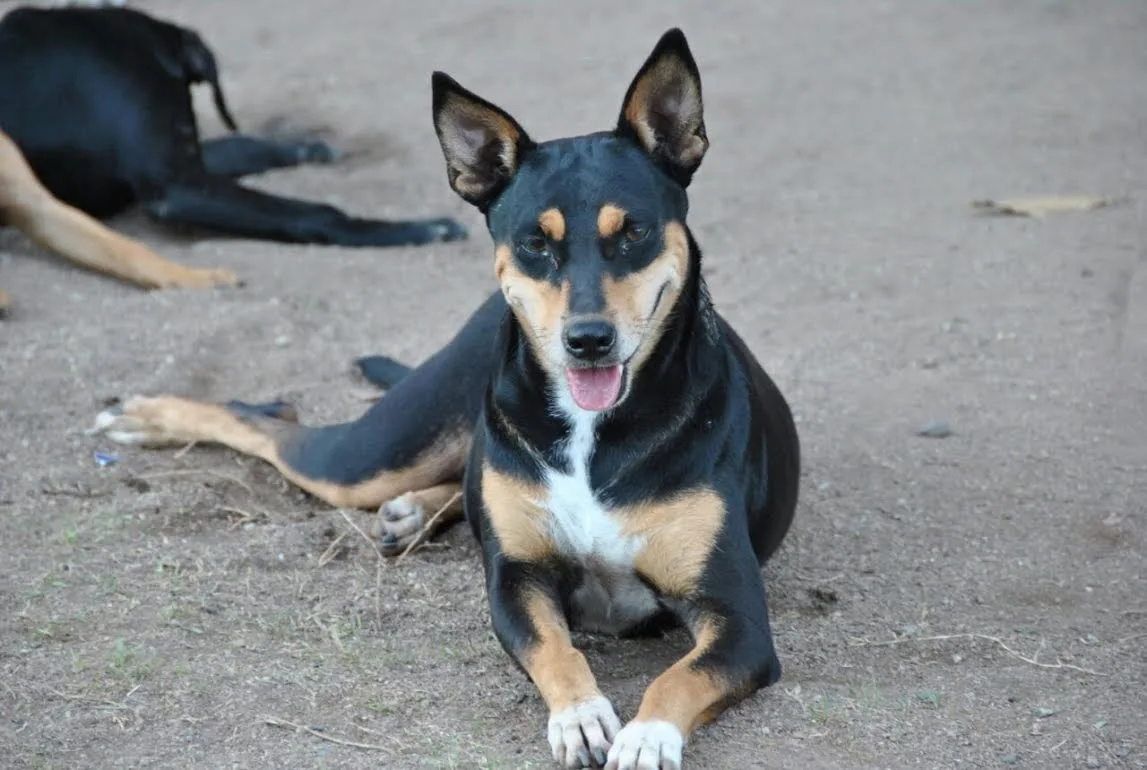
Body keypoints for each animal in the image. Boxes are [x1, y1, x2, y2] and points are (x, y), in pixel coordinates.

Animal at [0, 4, 467, 259]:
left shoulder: (182, 160)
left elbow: (242, 144)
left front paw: (306, 147)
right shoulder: (177, 184)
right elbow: (315, 212)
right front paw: (416, 229)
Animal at [89, 27, 802, 766]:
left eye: (631, 232)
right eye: (535, 243)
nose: (587, 340)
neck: (593, 429)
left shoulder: (738, 619)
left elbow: (678, 676)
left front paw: (645, 735)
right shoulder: (515, 582)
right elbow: (556, 651)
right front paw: (580, 715)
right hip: (372, 454)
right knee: (272, 420)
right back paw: (148, 418)